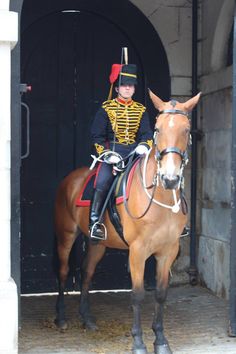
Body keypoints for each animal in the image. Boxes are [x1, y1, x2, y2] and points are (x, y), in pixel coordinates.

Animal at [54, 90, 201, 354]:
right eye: (158, 129)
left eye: (186, 129)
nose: (170, 179)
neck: (160, 196)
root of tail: (70, 178)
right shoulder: (137, 251)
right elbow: (138, 294)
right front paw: (138, 342)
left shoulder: (168, 250)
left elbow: (160, 294)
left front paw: (160, 340)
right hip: (65, 236)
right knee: (63, 272)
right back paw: (61, 318)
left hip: (97, 244)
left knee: (86, 273)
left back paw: (87, 319)